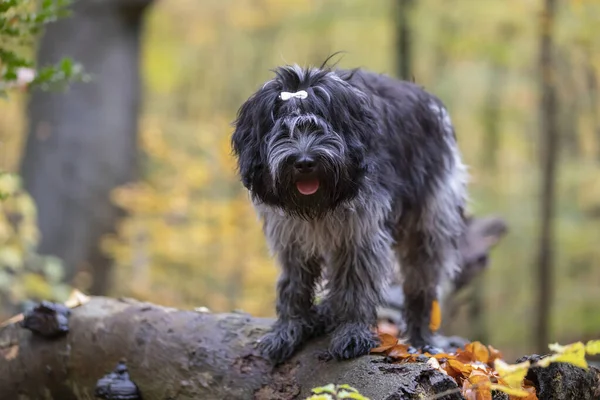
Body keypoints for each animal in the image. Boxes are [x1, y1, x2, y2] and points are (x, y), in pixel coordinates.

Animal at [231, 60, 468, 366]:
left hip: (430, 219)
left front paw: (352, 333)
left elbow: (356, 285)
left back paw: (420, 337)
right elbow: (293, 284)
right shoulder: (291, 237)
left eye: (321, 127)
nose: (304, 162)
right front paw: (288, 329)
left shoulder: (360, 233)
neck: (318, 202)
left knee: (421, 282)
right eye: (282, 131)